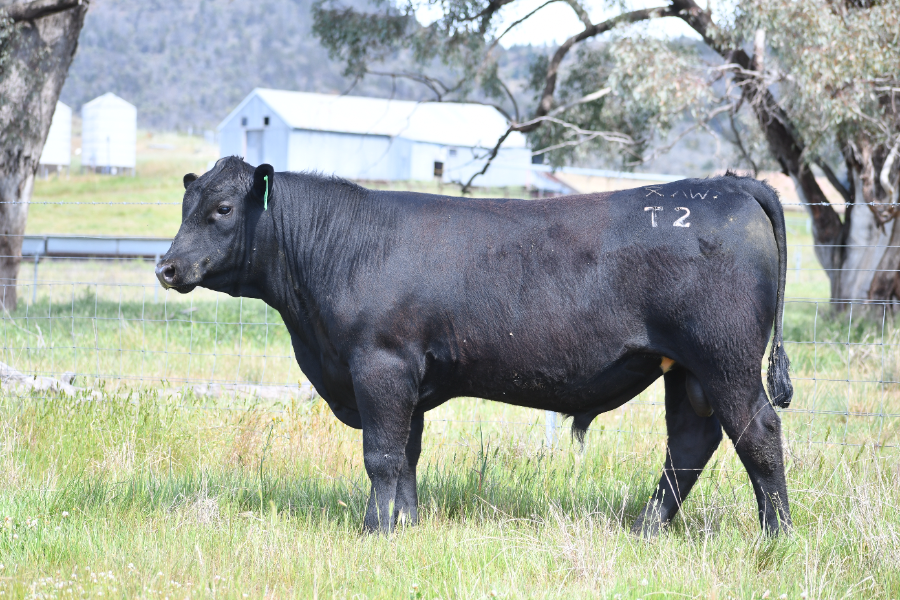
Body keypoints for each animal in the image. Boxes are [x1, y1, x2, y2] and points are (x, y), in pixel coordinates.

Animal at [156, 158, 796, 536]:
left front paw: (374, 530)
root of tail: (728, 183)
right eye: (185, 206)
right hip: (685, 370)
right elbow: (407, 455)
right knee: (691, 442)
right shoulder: (408, 378)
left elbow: (380, 455)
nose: (166, 266)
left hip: (725, 358)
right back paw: (646, 528)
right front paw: (406, 526)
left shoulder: (380, 364)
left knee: (757, 431)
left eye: (222, 209)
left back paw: (777, 534)